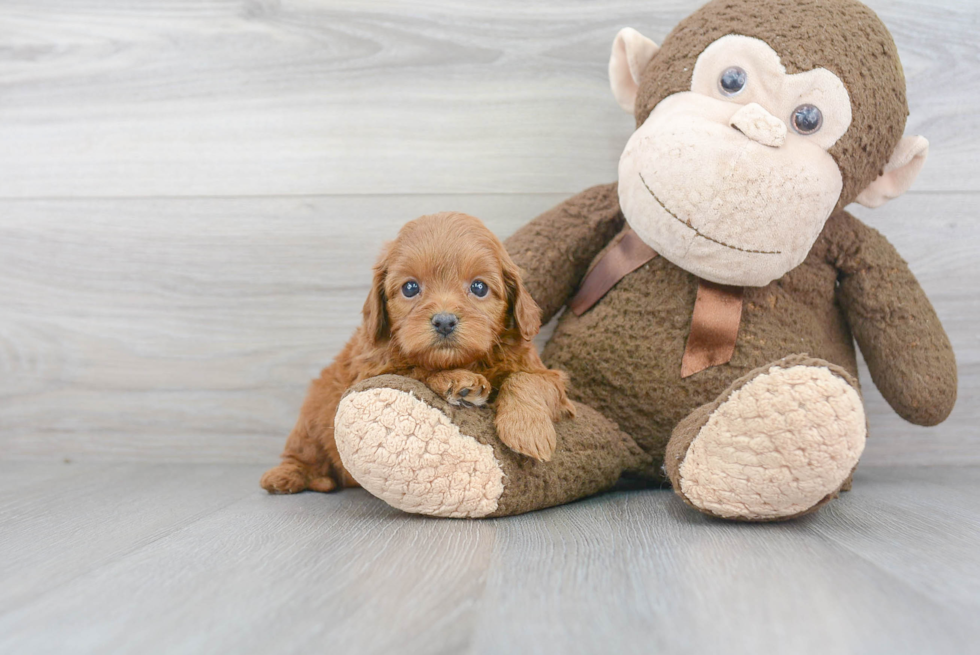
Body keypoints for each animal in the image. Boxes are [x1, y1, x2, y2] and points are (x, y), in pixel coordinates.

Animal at [260, 213, 576, 494]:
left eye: (479, 287)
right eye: (411, 288)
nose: (444, 321)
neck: (467, 360)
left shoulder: (546, 374)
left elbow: (527, 379)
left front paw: (527, 429)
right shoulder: (371, 371)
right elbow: (415, 369)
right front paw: (457, 381)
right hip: (312, 416)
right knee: (303, 452)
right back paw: (288, 477)